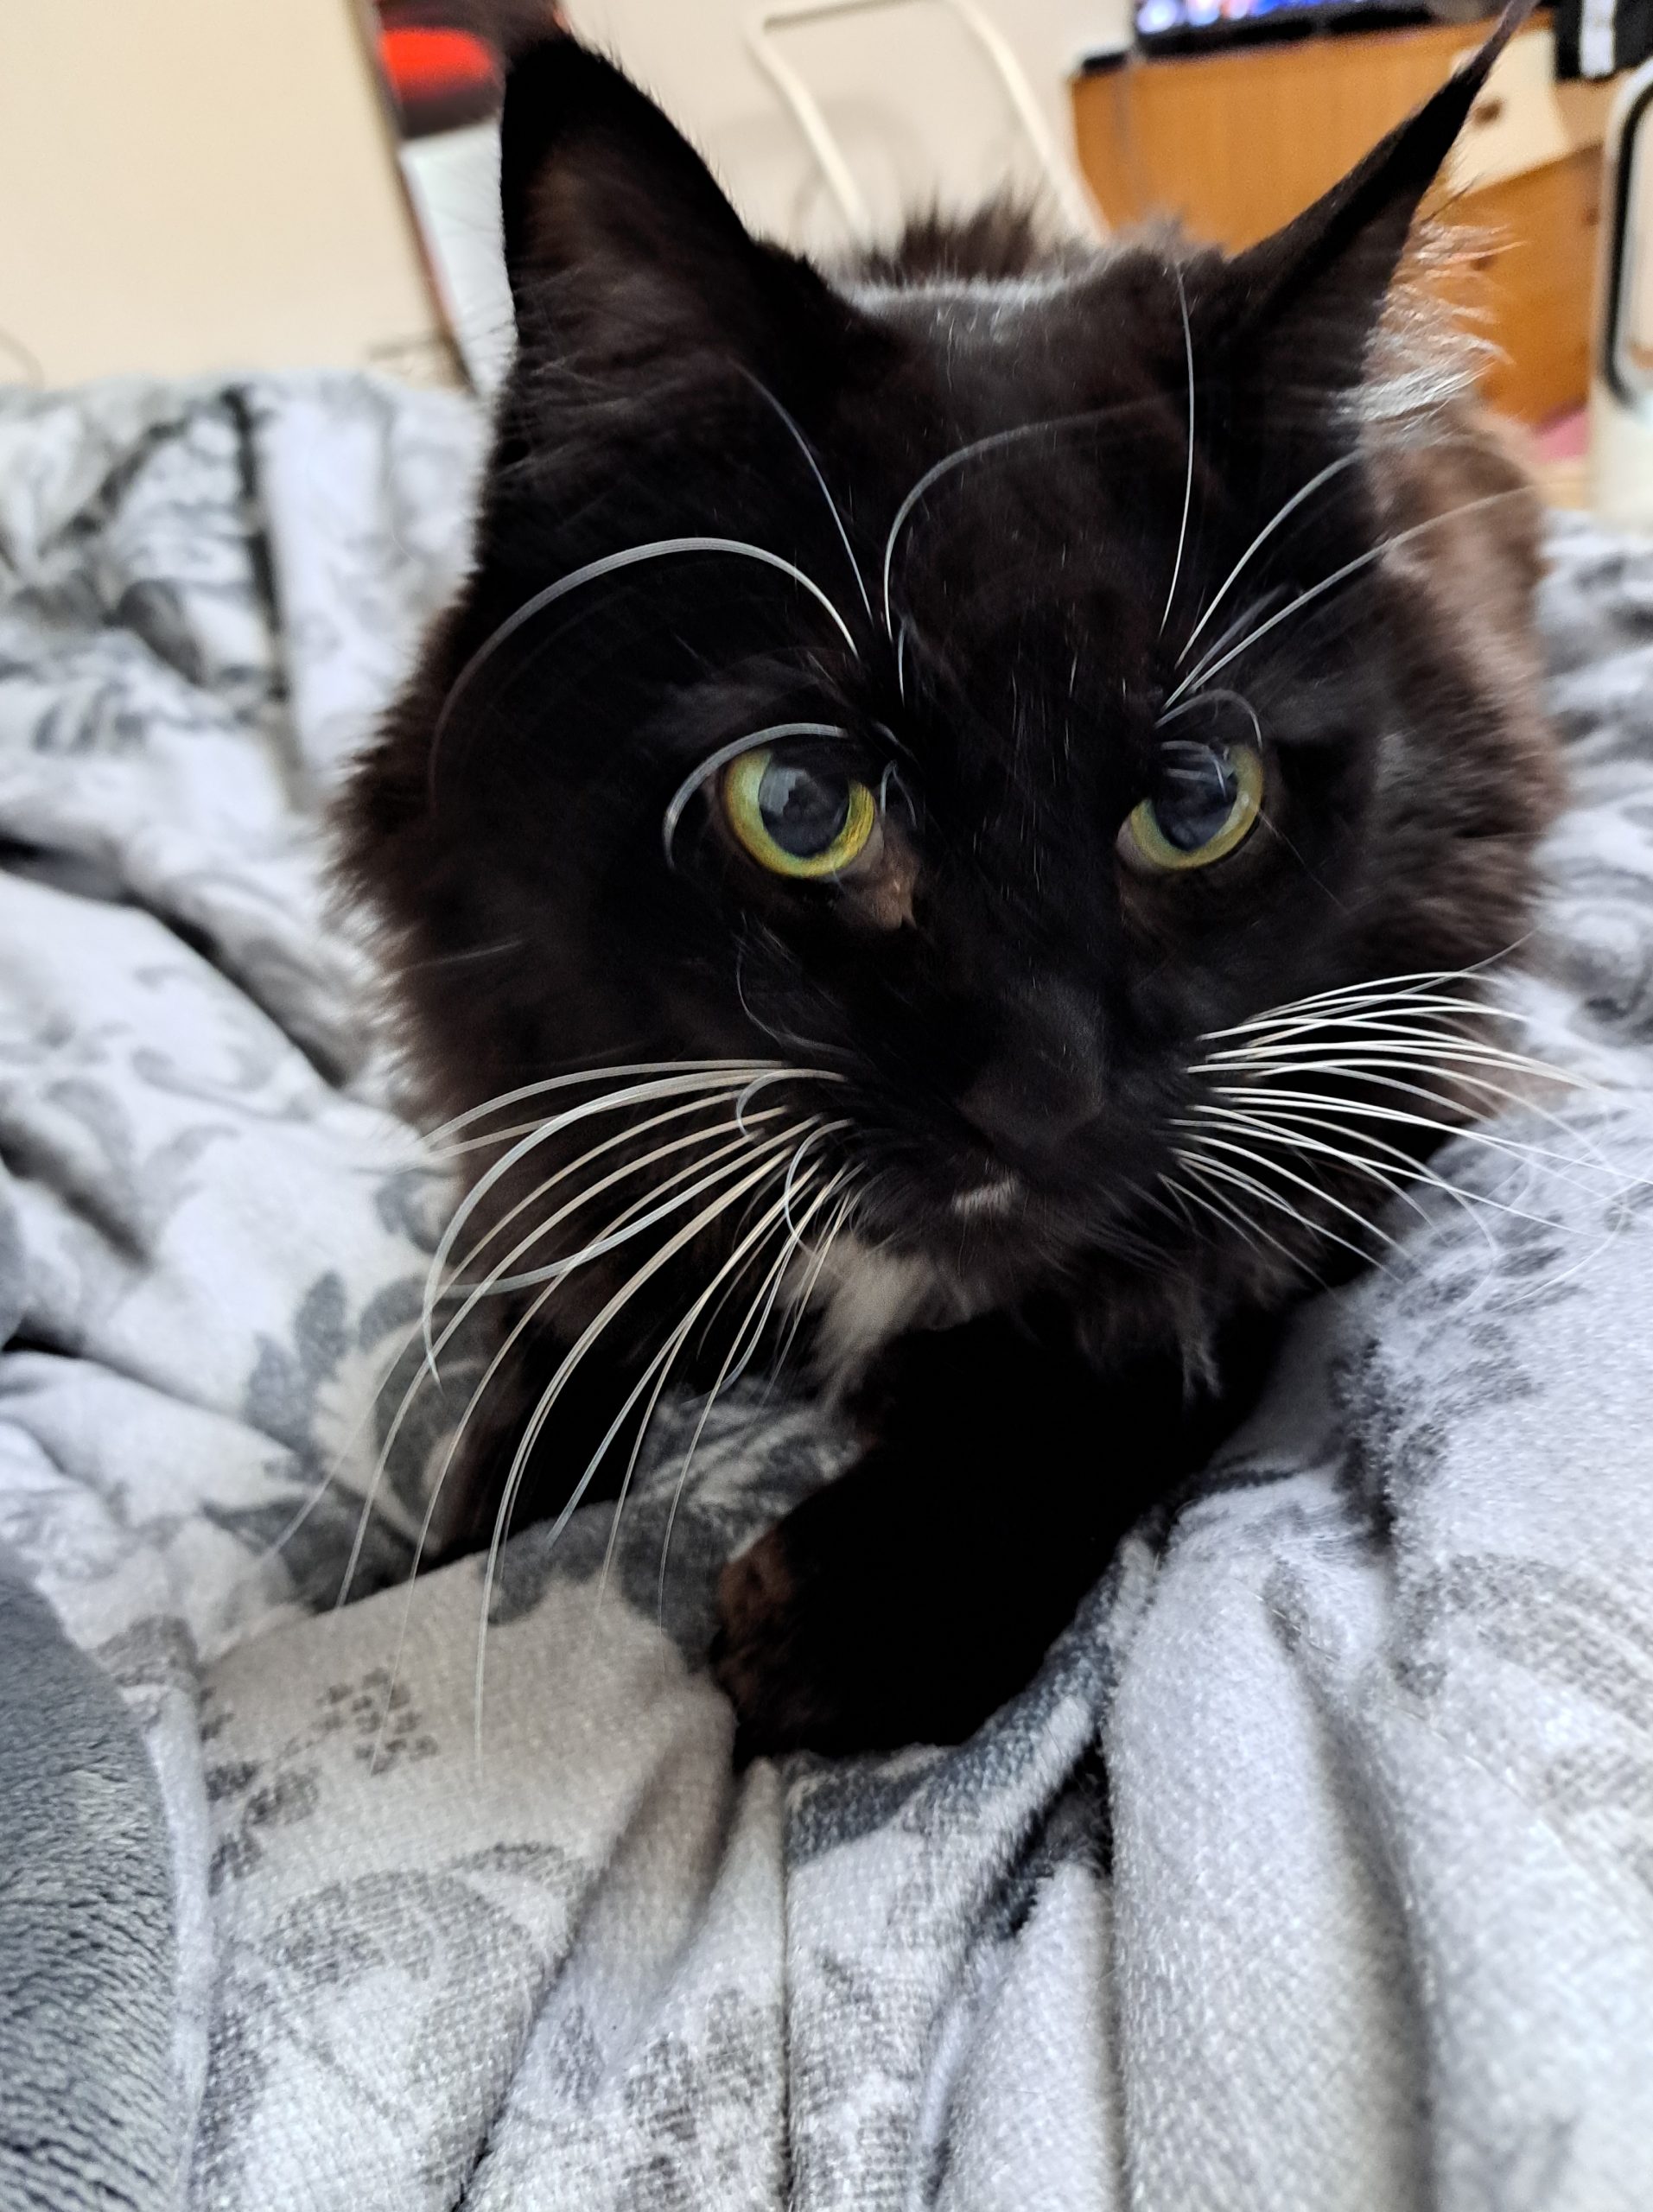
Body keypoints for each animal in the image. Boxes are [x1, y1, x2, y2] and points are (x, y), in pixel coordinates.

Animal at [336, 6, 1560, 1757]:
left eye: (1195, 801)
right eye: (800, 806)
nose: (1043, 1097)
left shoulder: (1380, 1063)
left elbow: (1144, 1334)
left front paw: (862, 1601)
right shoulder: (552, 1130)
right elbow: (535, 1382)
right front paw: (435, 1569)